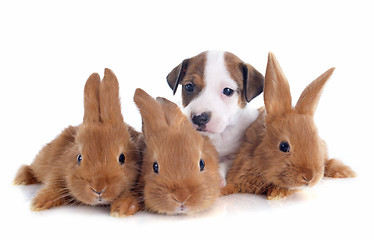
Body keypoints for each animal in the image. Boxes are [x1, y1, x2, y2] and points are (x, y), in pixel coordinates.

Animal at [13, 68, 141, 212]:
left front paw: (121, 208)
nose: (98, 189)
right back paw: (21, 179)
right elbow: (53, 186)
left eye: (122, 158)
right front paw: (39, 202)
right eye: (79, 157)